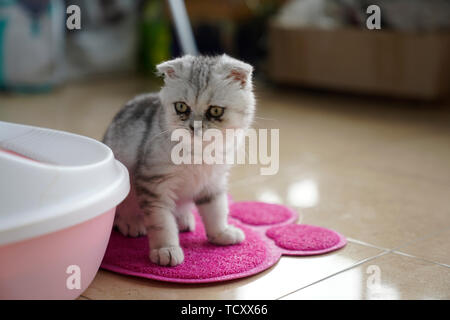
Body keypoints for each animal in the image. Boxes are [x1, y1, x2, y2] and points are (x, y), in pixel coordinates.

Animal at [103, 53, 255, 266]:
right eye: (181, 107)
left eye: (215, 111)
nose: (194, 127)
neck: (199, 153)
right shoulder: (154, 185)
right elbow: (162, 223)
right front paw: (166, 249)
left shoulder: (213, 183)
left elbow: (216, 210)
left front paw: (221, 233)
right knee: (120, 214)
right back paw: (131, 222)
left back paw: (183, 219)